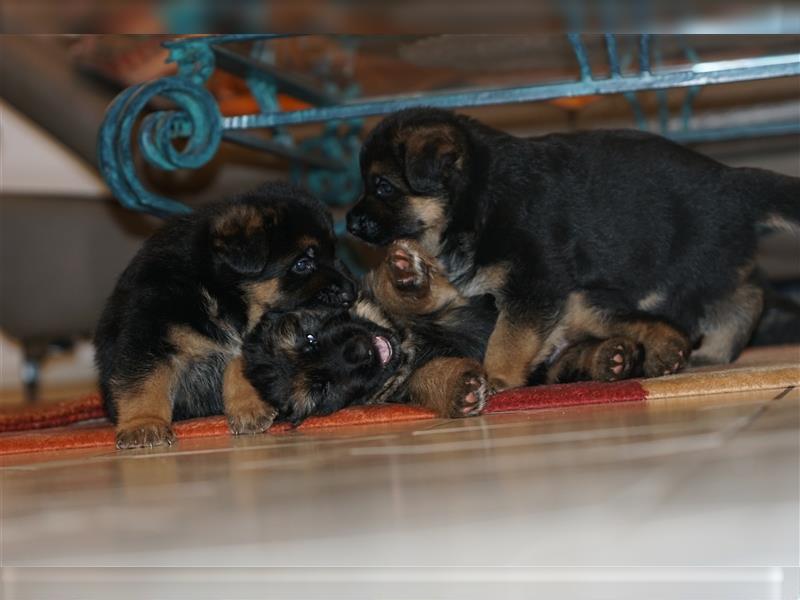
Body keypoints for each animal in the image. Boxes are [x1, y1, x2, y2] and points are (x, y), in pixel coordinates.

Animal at [95, 183, 354, 450]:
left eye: (334, 254)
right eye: (302, 264)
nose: (351, 294)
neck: (216, 291)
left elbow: (242, 368)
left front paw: (249, 409)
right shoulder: (150, 335)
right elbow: (144, 383)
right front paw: (143, 425)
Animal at [348, 108, 800, 390]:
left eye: (382, 186)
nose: (349, 224)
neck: (478, 197)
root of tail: (731, 183)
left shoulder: (534, 284)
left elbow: (508, 336)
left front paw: (497, 377)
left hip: (678, 274)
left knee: (745, 296)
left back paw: (711, 348)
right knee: (743, 294)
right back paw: (706, 353)